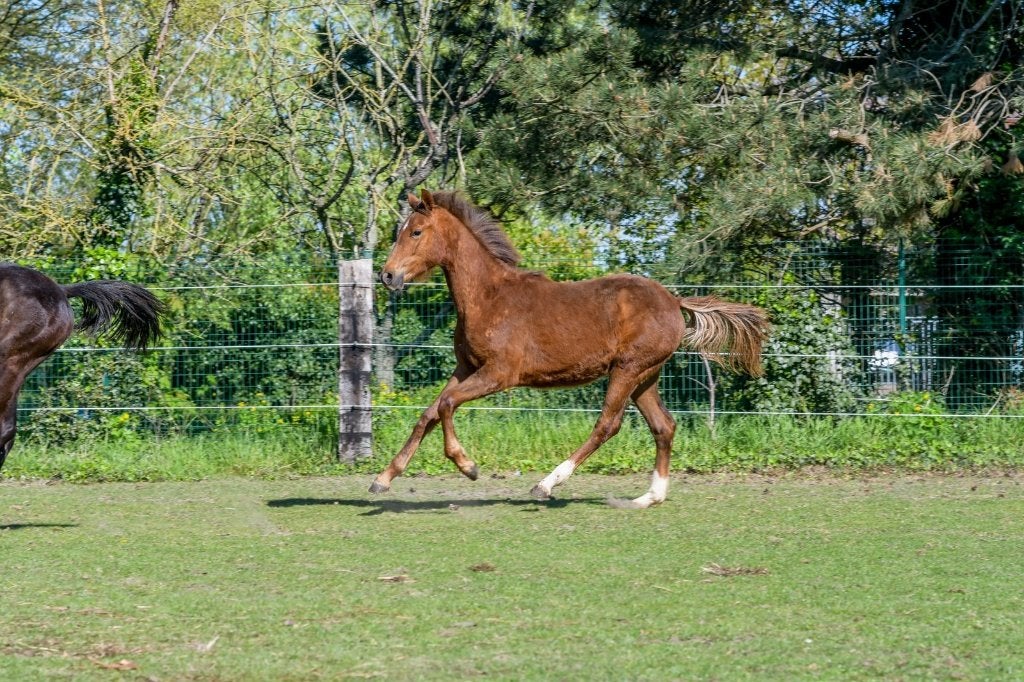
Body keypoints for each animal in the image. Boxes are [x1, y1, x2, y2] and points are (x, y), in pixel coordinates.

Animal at [372, 190, 769, 508]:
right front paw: (383, 478)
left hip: (628, 370)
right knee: (664, 426)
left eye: (416, 232)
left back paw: (546, 485)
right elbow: (429, 412)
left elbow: (447, 404)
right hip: (646, 376)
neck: (488, 297)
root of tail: (674, 301)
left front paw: (468, 466)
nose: (387, 276)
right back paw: (649, 497)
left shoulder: (500, 373)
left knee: (608, 424)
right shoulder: (466, 368)